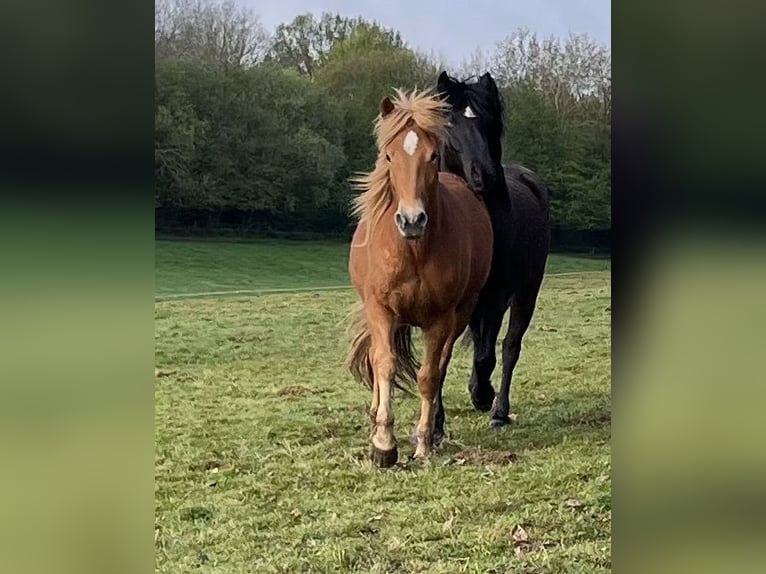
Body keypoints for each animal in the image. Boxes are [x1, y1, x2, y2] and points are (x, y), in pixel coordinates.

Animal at [346, 90, 492, 468]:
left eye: (433, 155)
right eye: (389, 155)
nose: (412, 220)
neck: (412, 251)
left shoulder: (440, 320)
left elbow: (429, 376)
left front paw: (423, 442)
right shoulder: (381, 310)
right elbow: (384, 365)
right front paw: (383, 443)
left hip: (459, 316)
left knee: (440, 366)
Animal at [432, 72, 552, 432]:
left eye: (489, 122)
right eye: (451, 121)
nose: (484, 174)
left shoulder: (498, 296)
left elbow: (488, 355)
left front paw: (481, 396)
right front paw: (435, 424)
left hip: (526, 292)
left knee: (510, 347)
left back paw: (498, 409)